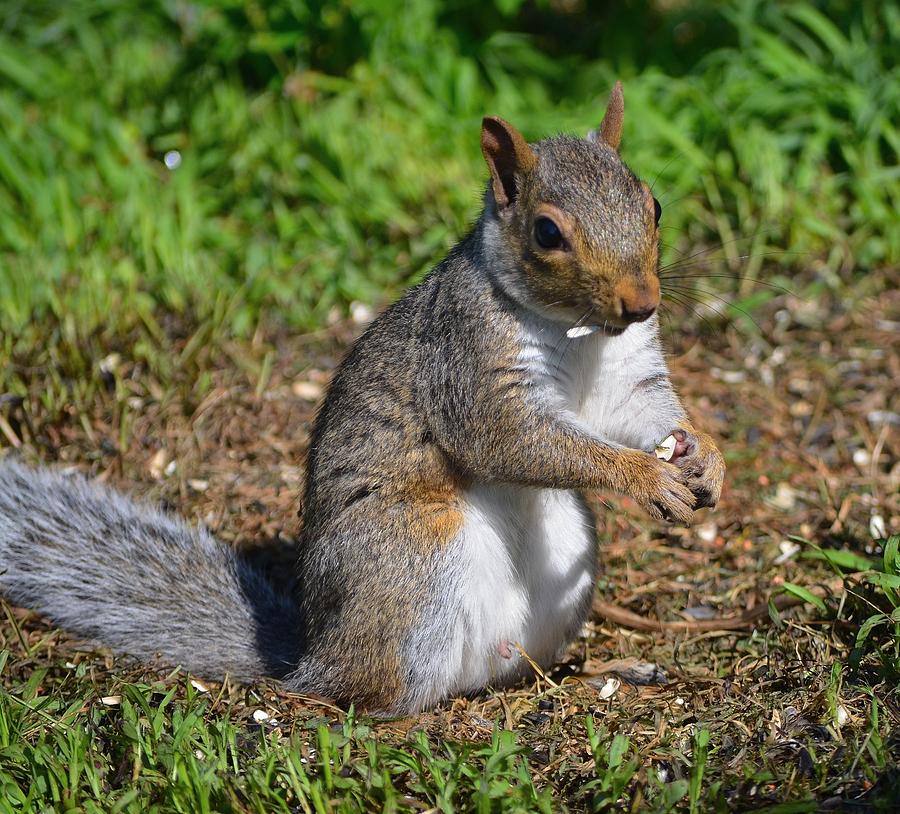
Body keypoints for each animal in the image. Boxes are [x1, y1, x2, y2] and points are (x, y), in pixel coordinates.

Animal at [0, 83, 724, 716]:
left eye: (654, 203)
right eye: (547, 233)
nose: (642, 303)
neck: (578, 333)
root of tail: (312, 656)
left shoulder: (629, 374)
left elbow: (642, 413)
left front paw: (708, 458)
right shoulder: (465, 359)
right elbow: (506, 439)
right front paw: (645, 475)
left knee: (514, 668)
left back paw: (593, 670)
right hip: (412, 562)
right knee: (369, 692)